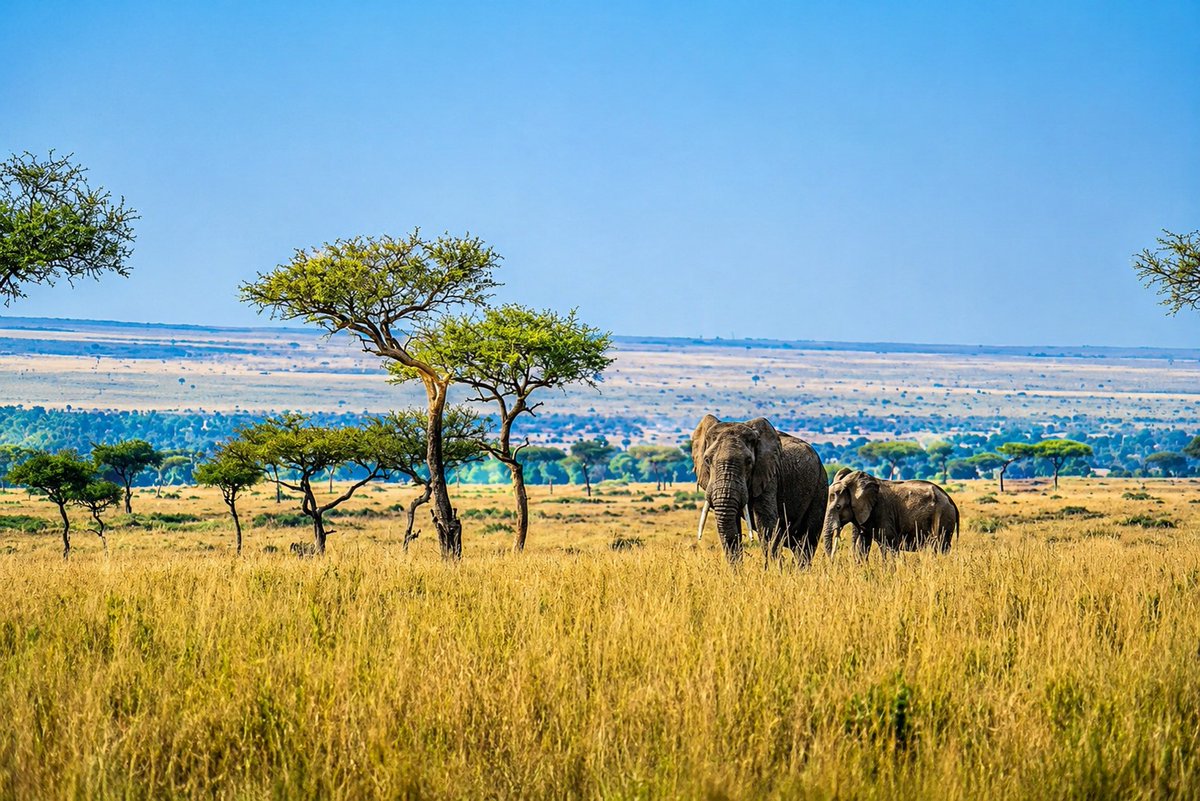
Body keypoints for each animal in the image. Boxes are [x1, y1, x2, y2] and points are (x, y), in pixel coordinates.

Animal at [692, 415, 827, 565]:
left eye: (749, 461)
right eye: (707, 460)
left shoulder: (769, 475)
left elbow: (765, 522)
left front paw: (773, 569)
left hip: (820, 486)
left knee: (807, 540)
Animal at [821, 468, 959, 559]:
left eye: (838, 507)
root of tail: (950, 499)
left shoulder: (882, 511)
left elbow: (889, 543)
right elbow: (863, 544)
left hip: (943, 516)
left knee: (940, 545)